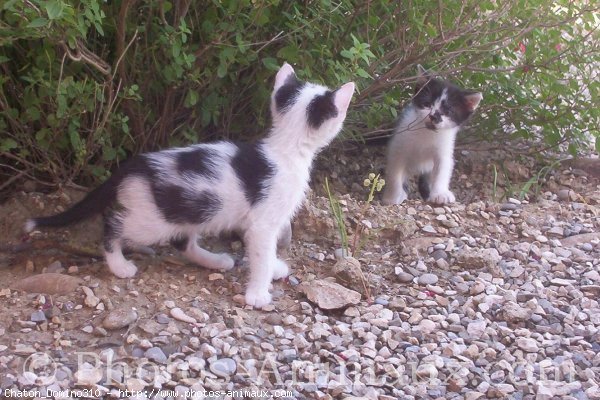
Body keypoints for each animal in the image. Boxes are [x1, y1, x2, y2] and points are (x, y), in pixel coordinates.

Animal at [27, 64, 356, 310]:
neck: (286, 149)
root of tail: (133, 165)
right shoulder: (263, 222)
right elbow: (261, 253)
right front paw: (258, 292)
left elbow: (265, 250)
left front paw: (274, 267)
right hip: (153, 219)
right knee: (113, 225)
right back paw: (119, 264)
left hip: (188, 211)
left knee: (181, 242)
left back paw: (214, 260)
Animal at [384, 65, 482, 205]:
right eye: (427, 104)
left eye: (447, 111)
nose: (433, 116)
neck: (426, 134)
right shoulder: (398, 147)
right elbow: (394, 174)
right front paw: (392, 196)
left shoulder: (444, 150)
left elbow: (442, 169)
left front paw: (440, 193)